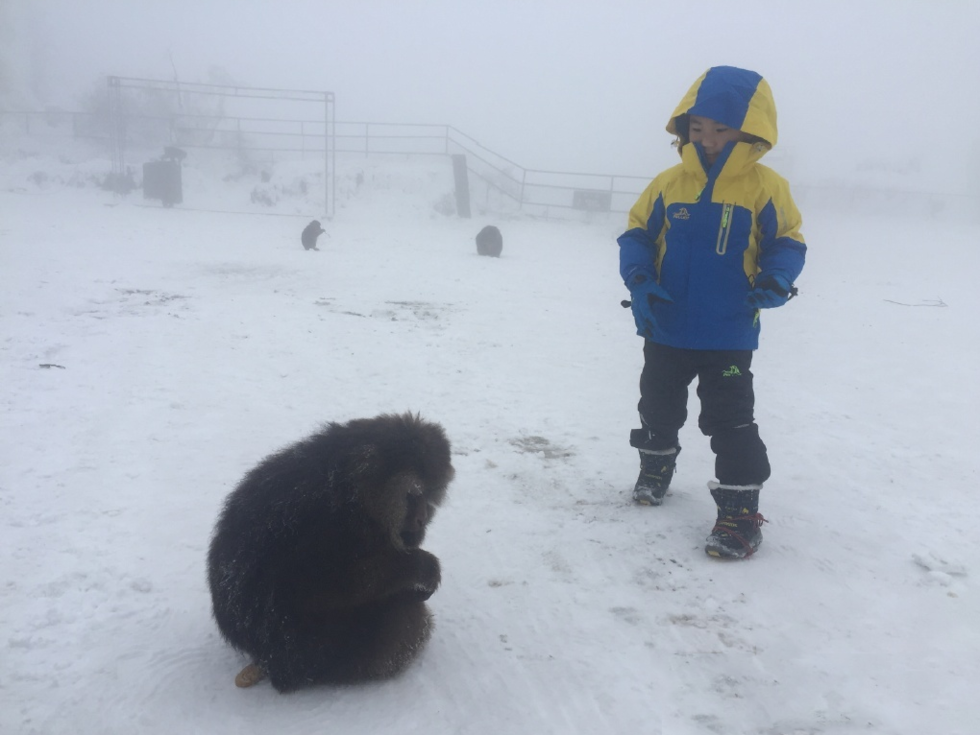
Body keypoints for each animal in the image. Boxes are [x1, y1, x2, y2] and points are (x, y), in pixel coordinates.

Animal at [209, 416, 454, 692]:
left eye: (431, 493)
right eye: (413, 495)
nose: (422, 518)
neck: (351, 490)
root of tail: (266, 661)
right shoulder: (326, 524)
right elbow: (324, 587)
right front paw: (421, 568)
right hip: (317, 651)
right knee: (404, 615)